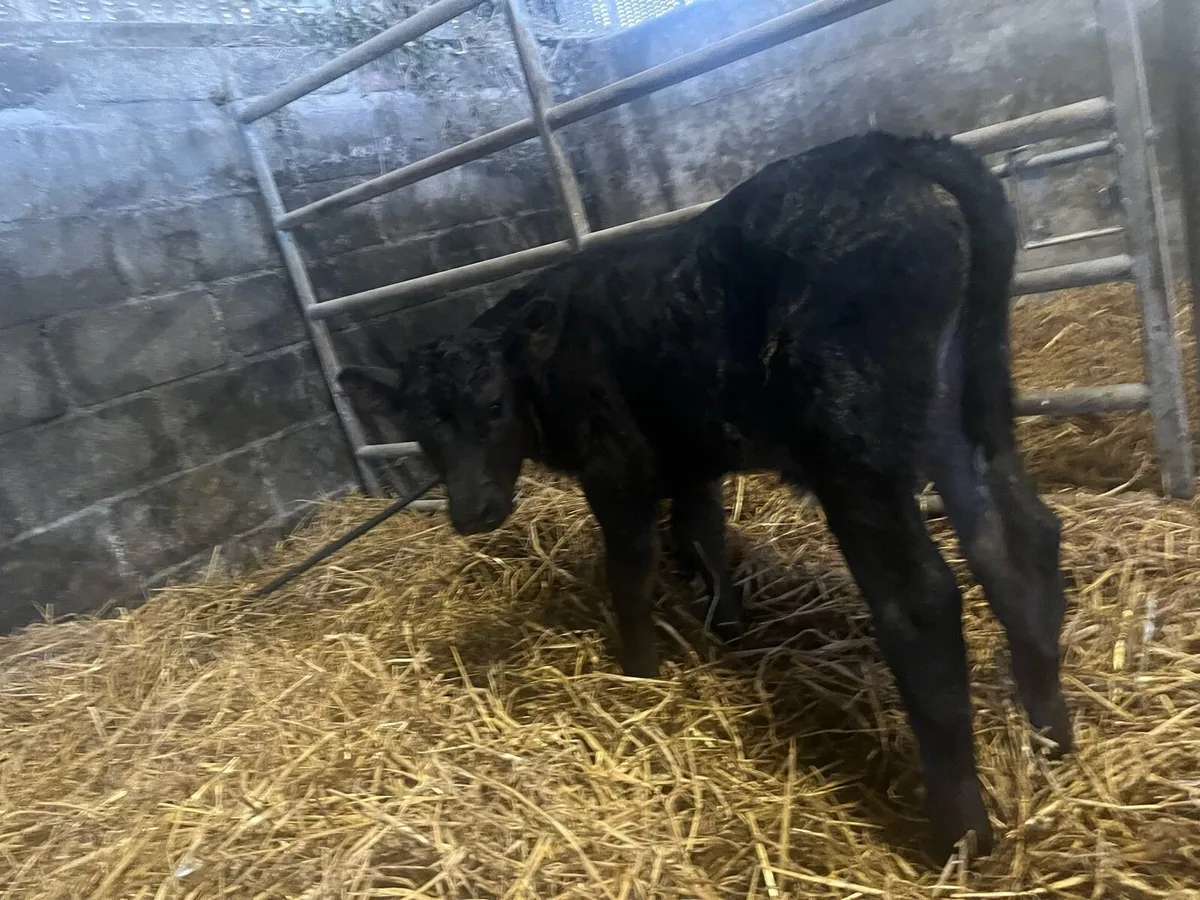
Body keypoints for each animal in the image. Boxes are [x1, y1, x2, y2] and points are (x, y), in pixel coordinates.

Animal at [339, 132, 1071, 858]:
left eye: (494, 405)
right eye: (418, 430)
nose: (472, 511)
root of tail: (899, 149)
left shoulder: (617, 467)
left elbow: (630, 569)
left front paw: (638, 672)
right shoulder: (690, 462)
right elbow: (703, 537)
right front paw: (727, 629)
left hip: (852, 441)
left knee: (920, 601)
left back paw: (961, 835)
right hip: (968, 401)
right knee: (1017, 540)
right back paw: (1052, 742)